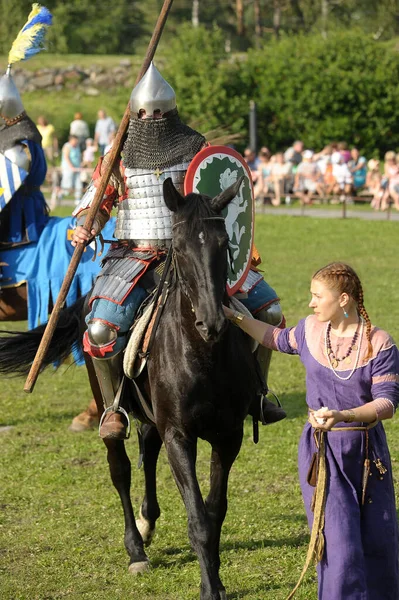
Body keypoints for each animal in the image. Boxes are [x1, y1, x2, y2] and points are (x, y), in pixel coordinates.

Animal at [0, 178, 260, 600]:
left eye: (224, 245)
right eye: (180, 247)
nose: (212, 323)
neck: (202, 354)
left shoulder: (229, 435)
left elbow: (215, 509)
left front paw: (216, 579)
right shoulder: (179, 435)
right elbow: (198, 519)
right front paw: (209, 586)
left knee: (147, 447)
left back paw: (147, 521)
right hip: (106, 368)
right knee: (120, 466)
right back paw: (136, 548)